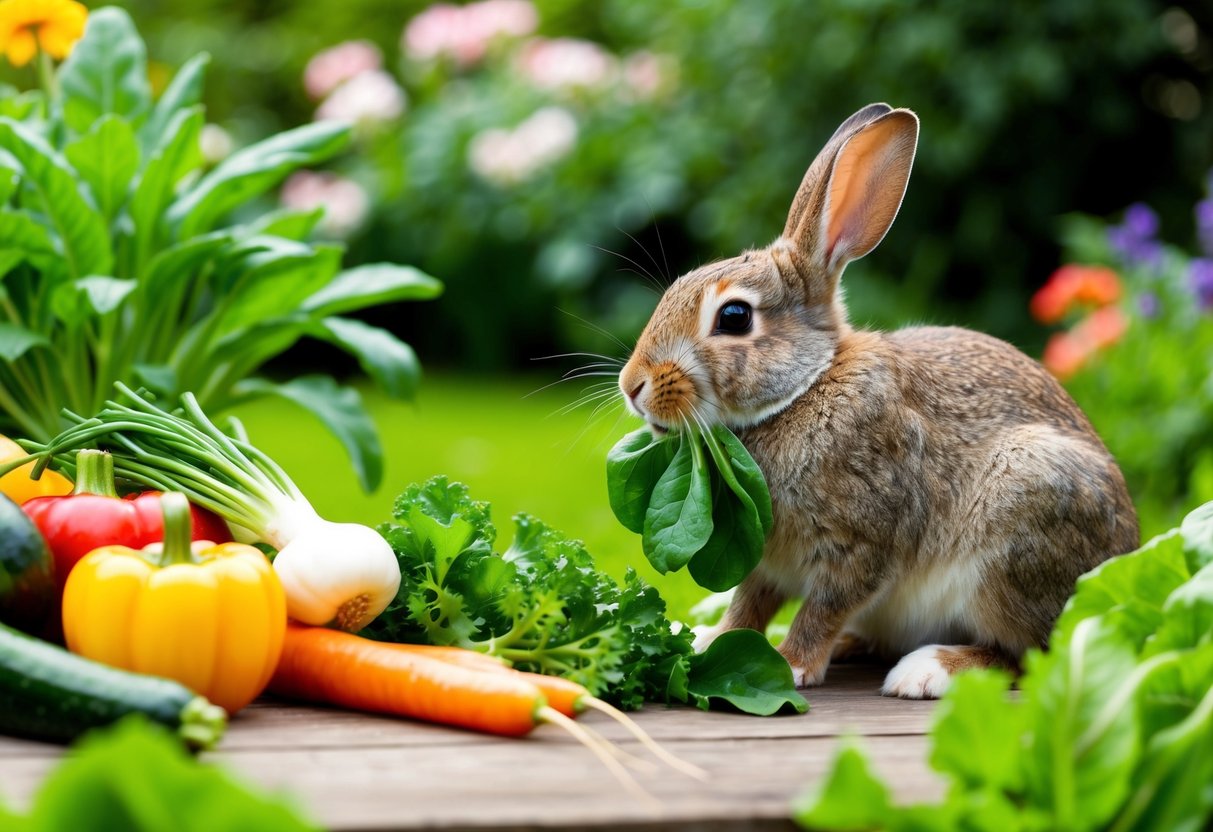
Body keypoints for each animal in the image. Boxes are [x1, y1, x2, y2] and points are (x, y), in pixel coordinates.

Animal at [616, 103, 1139, 699]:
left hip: (1019, 527)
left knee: (1027, 654)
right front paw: (713, 640)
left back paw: (927, 670)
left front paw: (791, 663)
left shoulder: (860, 543)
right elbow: (750, 604)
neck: (806, 388)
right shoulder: (765, 562)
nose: (632, 385)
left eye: (734, 317)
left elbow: (822, 607)